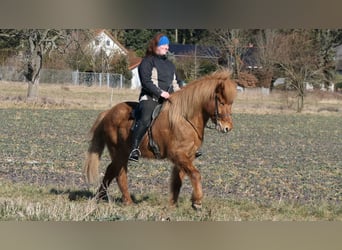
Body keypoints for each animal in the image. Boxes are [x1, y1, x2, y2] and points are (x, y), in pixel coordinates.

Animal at [84, 70, 236, 209]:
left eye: (230, 103)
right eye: (221, 102)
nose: (227, 127)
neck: (185, 119)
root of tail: (108, 113)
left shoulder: (187, 157)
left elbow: (178, 180)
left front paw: (172, 205)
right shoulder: (178, 155)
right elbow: (195, 174)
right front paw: (197, 201)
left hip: (120, 154)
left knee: (111, 170)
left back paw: (101, 196)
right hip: (119, 152)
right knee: (119, 173)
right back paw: (126, 201)